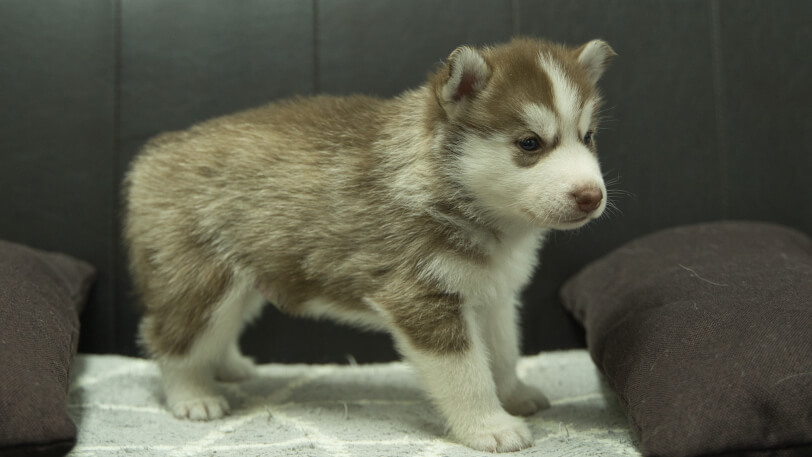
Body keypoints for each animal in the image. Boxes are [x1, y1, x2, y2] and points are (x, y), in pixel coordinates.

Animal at [123, 37, 612, 450]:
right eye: (530, 143)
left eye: (588, 137)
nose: (591, 195)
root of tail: (156, 151)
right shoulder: (421, 297)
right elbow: (467, 372)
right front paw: (489, 426)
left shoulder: (493, 294)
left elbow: (504, 351)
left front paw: (513, 394)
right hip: (202, 281)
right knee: (169, 338)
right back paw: (193, 394)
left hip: (246, 280)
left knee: (217, 331)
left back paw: (226, 366)